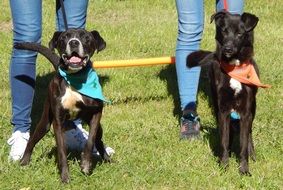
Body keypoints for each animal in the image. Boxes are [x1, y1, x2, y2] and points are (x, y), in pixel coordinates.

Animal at [14, 28, 111, 183]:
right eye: (64, 37)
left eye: (86, 37)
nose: (74, 42)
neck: (75, 78)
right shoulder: (57, 121)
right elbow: (61, 151)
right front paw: (65, 176)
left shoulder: (96, 114)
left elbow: (90, 141)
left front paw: (85, 164)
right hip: (45, 122)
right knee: (32, 141)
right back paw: (24, 161)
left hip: (98, 127)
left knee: (98, 140)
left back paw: (107, 159)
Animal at [187, 11, 272, 175]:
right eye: (224, 31)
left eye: (239, 33)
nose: (227, 49)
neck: (235, 68)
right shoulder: (223, 110)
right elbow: (224, 141)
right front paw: (224, 166)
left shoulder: (246, 112)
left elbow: (244, 144)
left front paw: (244, 170)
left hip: (253, 109)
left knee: (249, 134)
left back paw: (252, 155)